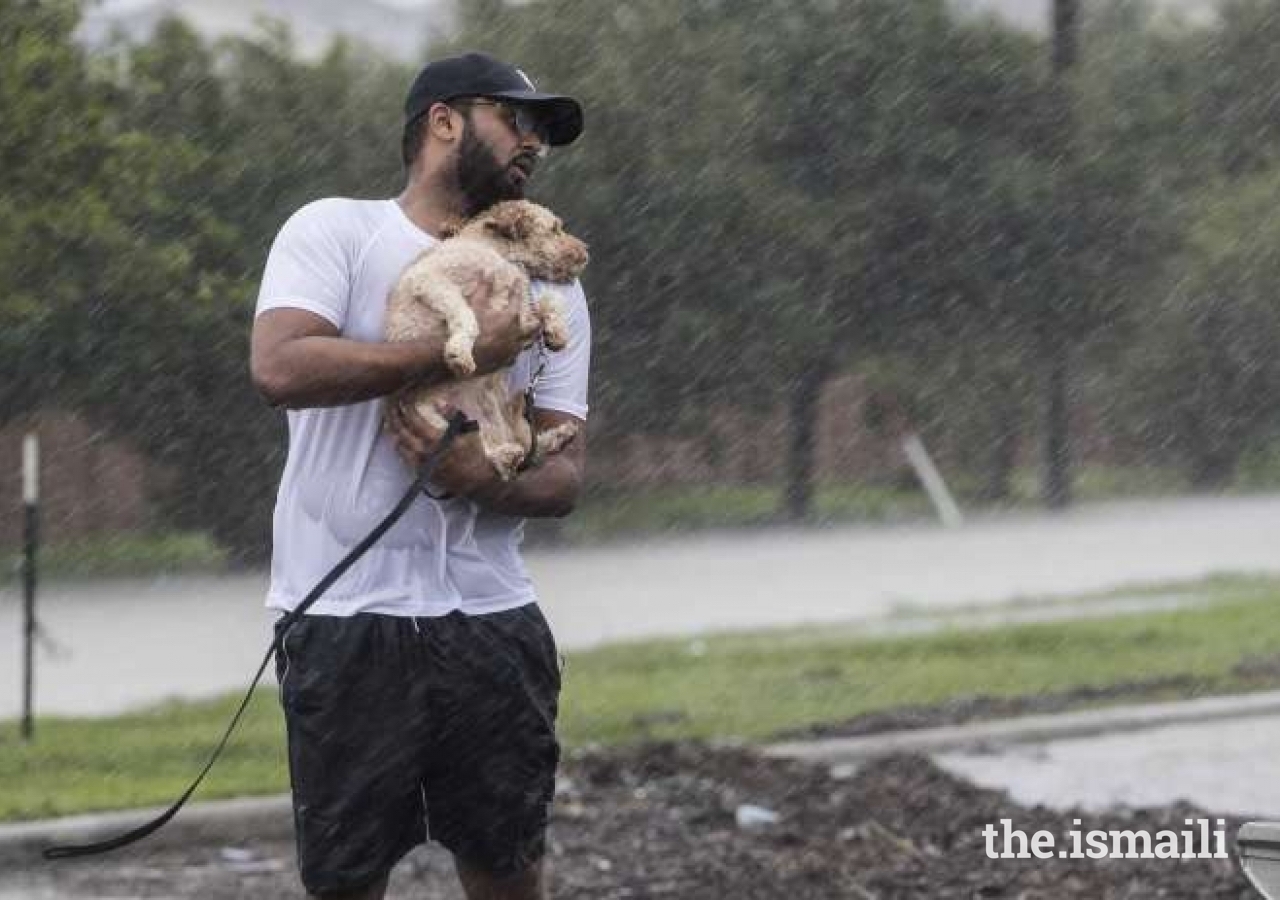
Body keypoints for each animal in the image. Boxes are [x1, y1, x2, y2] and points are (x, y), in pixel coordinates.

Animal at [384, 203, 588, 481]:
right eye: (555, 229)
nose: (586, 253)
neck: (499, 255)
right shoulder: (429, 280)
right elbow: (467, 316)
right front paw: (459, 353)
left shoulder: (524, 313)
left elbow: (551, 301)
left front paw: (557, 332)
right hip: (431, 419)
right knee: (490, 455)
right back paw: (507, 457)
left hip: (497, 418)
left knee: (525, 449)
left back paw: (558, 437)